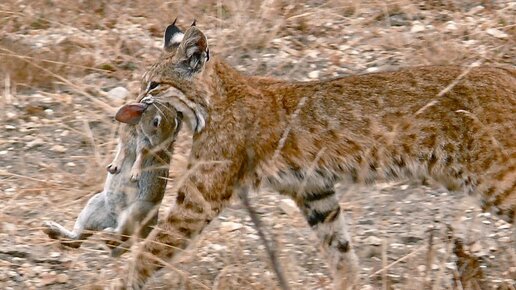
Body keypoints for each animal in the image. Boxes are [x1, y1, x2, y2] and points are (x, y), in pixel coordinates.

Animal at [42, 96, 183, 258]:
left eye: (156, 122)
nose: (149, 100)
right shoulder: (127, 137)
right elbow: (122, 150)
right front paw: (114, 167)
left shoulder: (145, 145)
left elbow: (140, 156)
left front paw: (134, 174)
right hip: (94, 205)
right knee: (78, 239)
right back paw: (50, 228)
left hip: (135, 210)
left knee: (121, 236)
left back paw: (108, 235)